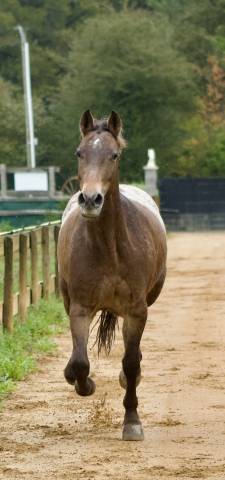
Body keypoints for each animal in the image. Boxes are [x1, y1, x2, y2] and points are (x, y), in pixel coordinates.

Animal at [57, 110, 167, 440]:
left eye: (114, 155)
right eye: (79, 153)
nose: (91, 200)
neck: (109, 247)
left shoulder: (137, 311)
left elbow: (130, 363)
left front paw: (132, 421)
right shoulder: (80, 308)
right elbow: (81, 362)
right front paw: (84, 383)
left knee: (134, 359)